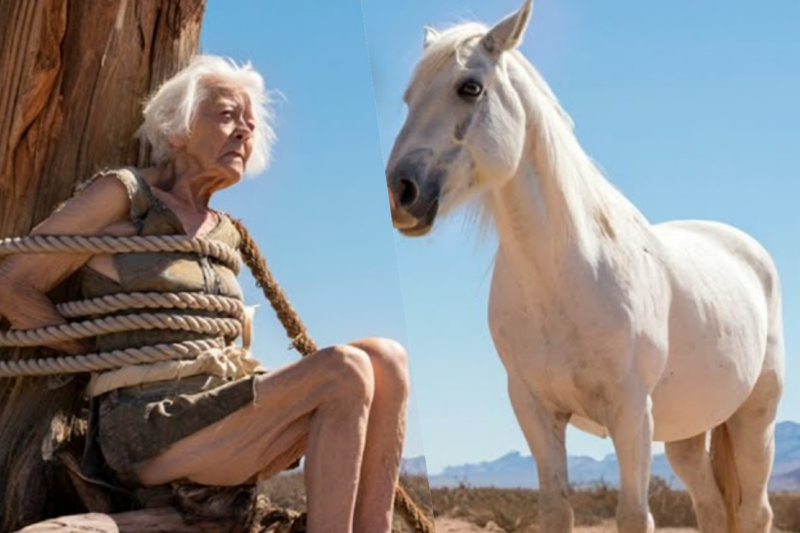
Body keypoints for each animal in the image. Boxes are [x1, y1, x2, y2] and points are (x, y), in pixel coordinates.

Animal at [385, 2, 784, 532]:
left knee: (754, 510)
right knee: (713, 507)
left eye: (469, 87)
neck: (564, 274)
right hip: (687, 433)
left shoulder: (631, 413)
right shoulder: (535, 410)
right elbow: (556, 509)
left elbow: (633, 514)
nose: (400, 193)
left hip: (754, 419)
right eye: (409, 98)